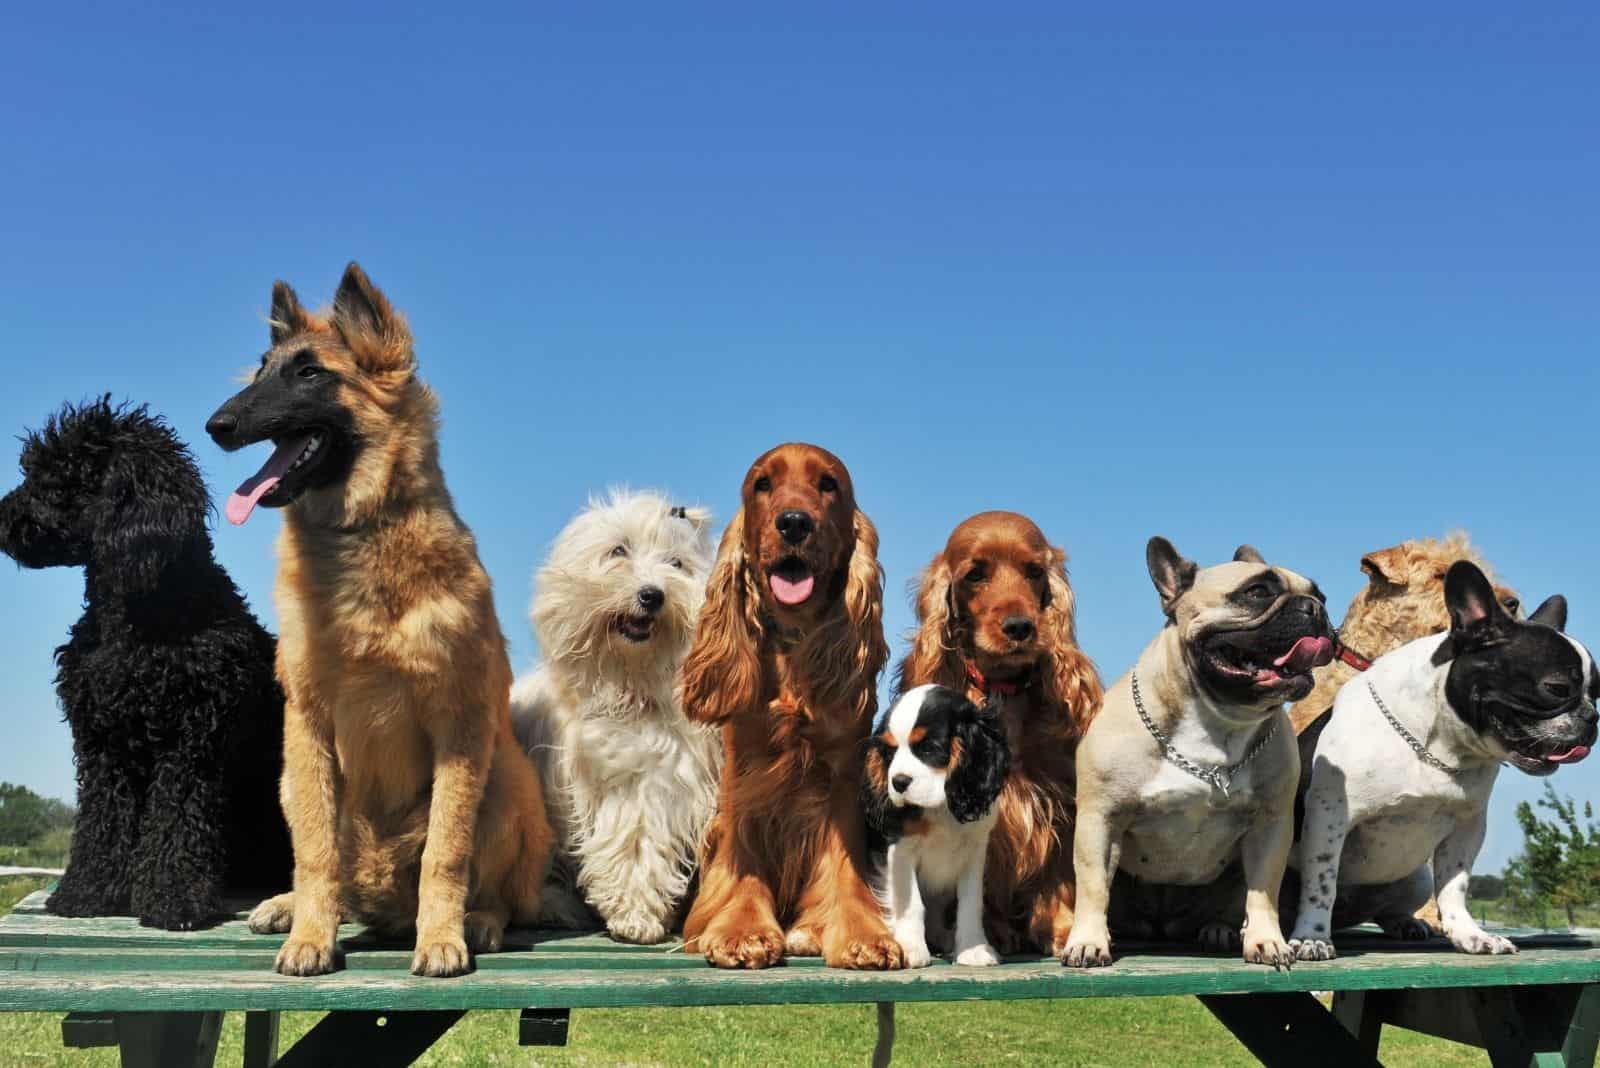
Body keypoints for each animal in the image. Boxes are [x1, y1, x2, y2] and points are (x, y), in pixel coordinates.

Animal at [203, 260, 553, 978]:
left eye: (310, 373)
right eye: (261, 371)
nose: (216, 425)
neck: (362, 535)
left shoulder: (461, 726)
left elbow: (446, 851)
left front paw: (440, 936)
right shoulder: (307, 727)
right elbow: (314, 853)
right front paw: (309, 935)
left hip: (506, 779)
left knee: (497, 891)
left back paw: (479, 921)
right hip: (292, 780)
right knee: (329, 864)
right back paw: (295, 907)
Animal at [508, 489, 723, 940]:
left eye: (676, 563)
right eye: (618, 550)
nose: (652, 595)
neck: (631, 685)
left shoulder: (671, 778)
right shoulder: (627, 786)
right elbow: (634, 843)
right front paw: (636, 915)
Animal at [1062, 543, 1337, 965]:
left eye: (1321, 596)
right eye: (1258, 592)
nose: (1314, 609)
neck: (1217, 720)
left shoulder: (1271, 824)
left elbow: (1263, 891)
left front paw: (1265, 939)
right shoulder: (1100, 818)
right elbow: (1093, 885)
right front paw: (1088, 941)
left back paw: (1219, 930)